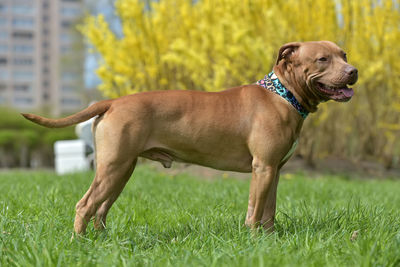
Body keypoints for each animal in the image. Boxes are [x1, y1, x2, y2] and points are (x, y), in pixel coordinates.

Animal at [22, 40, 360, 236]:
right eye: (322, 59)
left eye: (343, 55)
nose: (353, 71)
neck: (283, 94)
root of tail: (113, 101)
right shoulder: (262, 168)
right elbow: (254, 211)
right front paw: (254, 241)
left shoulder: (273, 170)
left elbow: (268, 211)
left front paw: (269, 239)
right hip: (113, 168)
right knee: (85, 205)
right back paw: (80, 243)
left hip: (120, 171)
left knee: (100, 209)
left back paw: (102, 240)